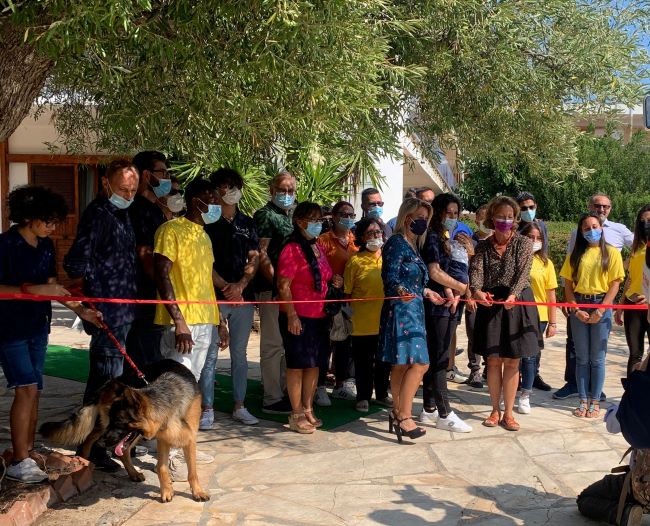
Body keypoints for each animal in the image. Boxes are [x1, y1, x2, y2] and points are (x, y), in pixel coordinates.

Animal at [38, 360, 209, 506]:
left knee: (122, 451)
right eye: (114, 421)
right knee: (90, 438)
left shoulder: (187, 439)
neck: (169, 400)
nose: (102, 443)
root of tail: (112, 382)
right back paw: (84, 461)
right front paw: (166, 491)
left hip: (129, 434)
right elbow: (162, 468)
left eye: (119, 422)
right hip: (106, 427)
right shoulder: (163, 439)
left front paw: (197, 492)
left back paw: (132, 473)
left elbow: (192, 470)